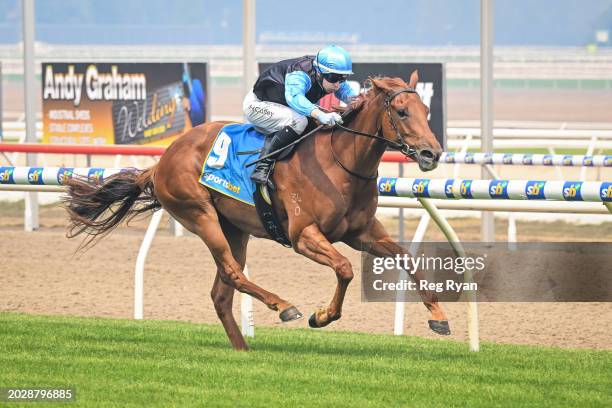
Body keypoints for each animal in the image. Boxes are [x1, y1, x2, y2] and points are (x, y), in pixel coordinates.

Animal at [64, 71, 450, 350]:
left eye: (426, 111)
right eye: (401, 112)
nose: (432, 154)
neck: (339, 163)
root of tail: (161, 162)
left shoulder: (362, 232)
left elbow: (408, 258)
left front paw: (438, 316)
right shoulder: (303, 236)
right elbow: (344, 268)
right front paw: (321, 315)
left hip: (235, 229)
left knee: (221, 294)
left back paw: (243, 351)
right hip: (200, 215)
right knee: (233, 273)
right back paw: (283, 306)